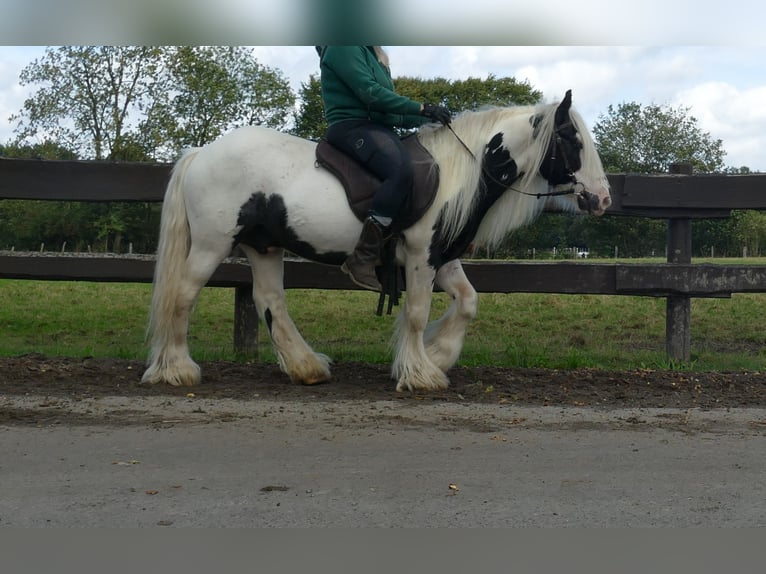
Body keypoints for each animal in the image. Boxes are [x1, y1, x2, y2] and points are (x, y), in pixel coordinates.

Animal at [142, 90, 612, 394]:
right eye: (571, 139)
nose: (603, 199)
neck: (461, 171)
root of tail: (201, 153)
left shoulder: (442, 257)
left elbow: (468, 301)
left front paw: (438, 354)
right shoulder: (421, 256)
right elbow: (418, 313)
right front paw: (420, 372)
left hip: (264, 246)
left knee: (270, 300)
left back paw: (306, 367)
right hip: (211, 244)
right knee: (183, 296)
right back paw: (177, 369)